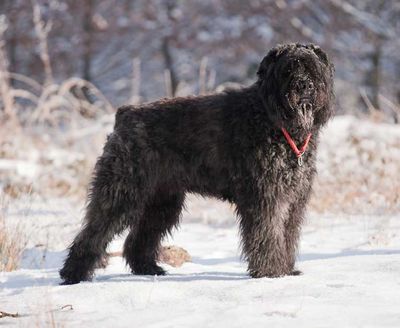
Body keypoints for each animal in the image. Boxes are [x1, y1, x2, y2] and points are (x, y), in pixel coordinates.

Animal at [59, 43, 334, 284]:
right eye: (287, 69)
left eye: (312, 68)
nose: (303, 85)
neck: (272, 119)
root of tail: (125, 114)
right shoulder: (266, 198)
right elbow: (267, 235)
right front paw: (270, 273)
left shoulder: (293, 200)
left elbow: (287, 235)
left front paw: (287, 270)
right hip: (121, 193)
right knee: (94, 233)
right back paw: (73, 275)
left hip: (161, 202)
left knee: (138, 239)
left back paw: (148, 268)